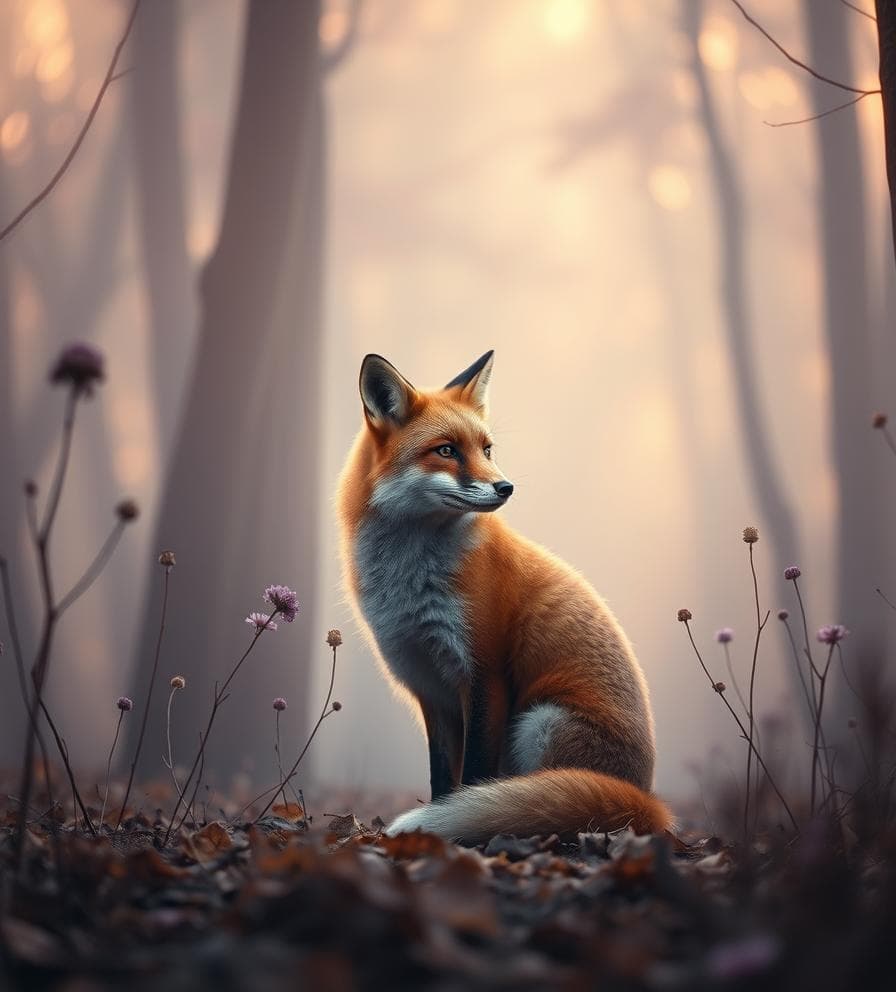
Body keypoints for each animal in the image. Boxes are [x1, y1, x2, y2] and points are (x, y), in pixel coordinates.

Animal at [336, 350, 672, 843]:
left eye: (487, 449)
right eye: (447, 450)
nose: (506, 487)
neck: (408, 580)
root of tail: (646, 801)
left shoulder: (485, 674)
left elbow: (473, 777)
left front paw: (455, 824)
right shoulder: (430, 688)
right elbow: (443, 780)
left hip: (538, 721)